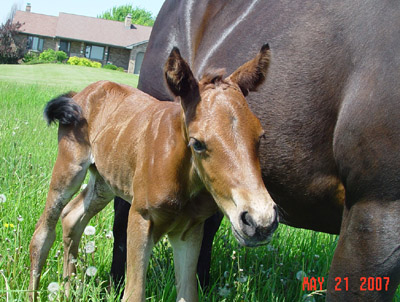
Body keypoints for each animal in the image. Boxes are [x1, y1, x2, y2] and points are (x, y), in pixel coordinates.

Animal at [28, 45, 278, 302]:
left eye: (260, 137)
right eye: (197, 143)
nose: (260, 221)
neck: (182, 177)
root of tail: (80, 93)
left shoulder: (190, 230)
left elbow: (188, 294)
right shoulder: (140, 218)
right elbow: (133, 294)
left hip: (104, 182)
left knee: (72, 217)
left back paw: (70, 290)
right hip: (69, 169)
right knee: (42, 234)